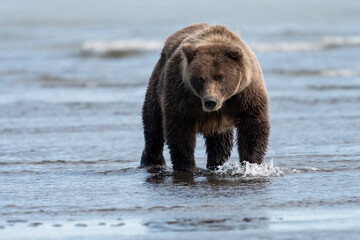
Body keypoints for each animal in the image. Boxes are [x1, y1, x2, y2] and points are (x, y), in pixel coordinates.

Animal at [141, 23, 270, 172]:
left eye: (220, 77)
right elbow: (180, 130)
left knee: (221, 141)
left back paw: (217, 163)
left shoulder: (246, 94)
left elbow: (253, 126)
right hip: (157, 86)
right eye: (200, 78)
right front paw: (187, 166)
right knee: (153, 126)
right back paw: (152, 161)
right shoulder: (181, 92)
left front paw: (251, 164)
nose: (210, 102)